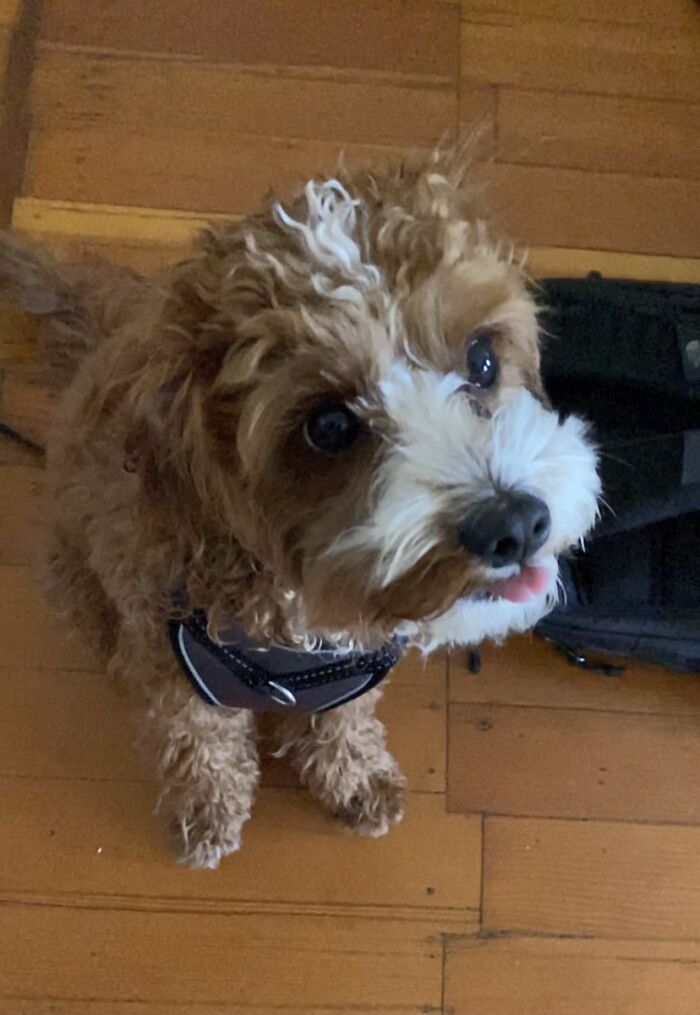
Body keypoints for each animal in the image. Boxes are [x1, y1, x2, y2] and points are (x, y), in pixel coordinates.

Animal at [0, 146, 600, 867]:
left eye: (482, 358)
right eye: (330, 426)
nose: (512, 523)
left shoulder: (349, 676)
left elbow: (340, 718)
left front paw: (354, 775)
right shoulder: (176, 664)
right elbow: (197, 739)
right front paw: (207, 809)